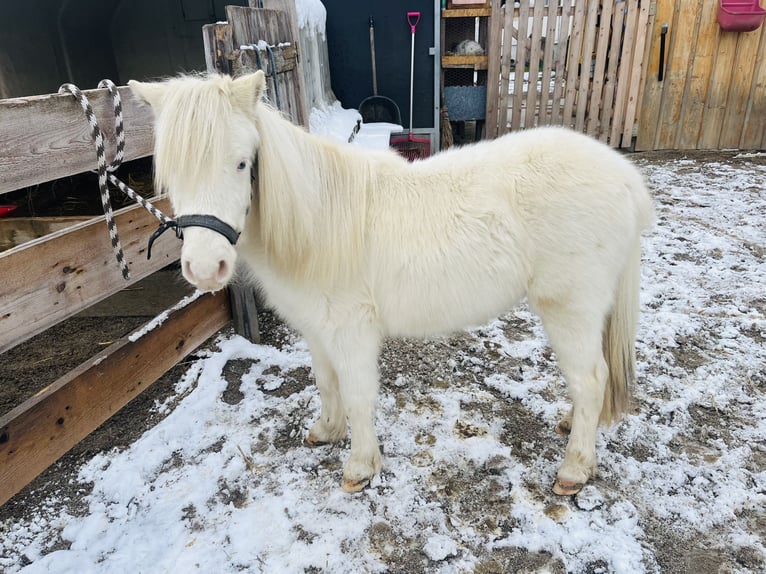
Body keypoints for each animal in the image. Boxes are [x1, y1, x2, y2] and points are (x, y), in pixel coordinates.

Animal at [130, 71, 656, 496]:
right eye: (170, 173)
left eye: (242, 163)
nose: (205, 267)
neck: (318, 223)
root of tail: (626, 178)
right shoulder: (317, 329)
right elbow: (327, 382)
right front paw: (326, 431)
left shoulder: (352, 330)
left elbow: (359, 394)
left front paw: (360, 467)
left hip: (570, 309)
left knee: (591, 379)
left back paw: (574, 469)